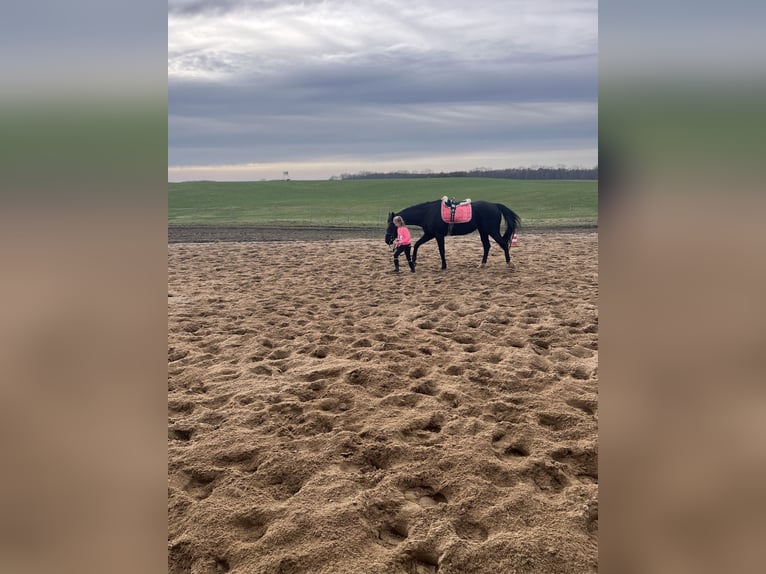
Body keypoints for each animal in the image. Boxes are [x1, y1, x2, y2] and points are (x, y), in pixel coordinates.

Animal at [384, 200, 520, 272]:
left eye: (390, 225)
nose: (386, 240)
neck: (427, 213)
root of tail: (495, 205)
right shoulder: (430, 234)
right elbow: (417, 244)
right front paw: (414, 261)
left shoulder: (438, 235)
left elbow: (441, 250)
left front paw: (443, 266)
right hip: (483, 231)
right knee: (487, 246)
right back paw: (482, 264)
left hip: (491, 230)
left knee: (503, 243)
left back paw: (509, 263)